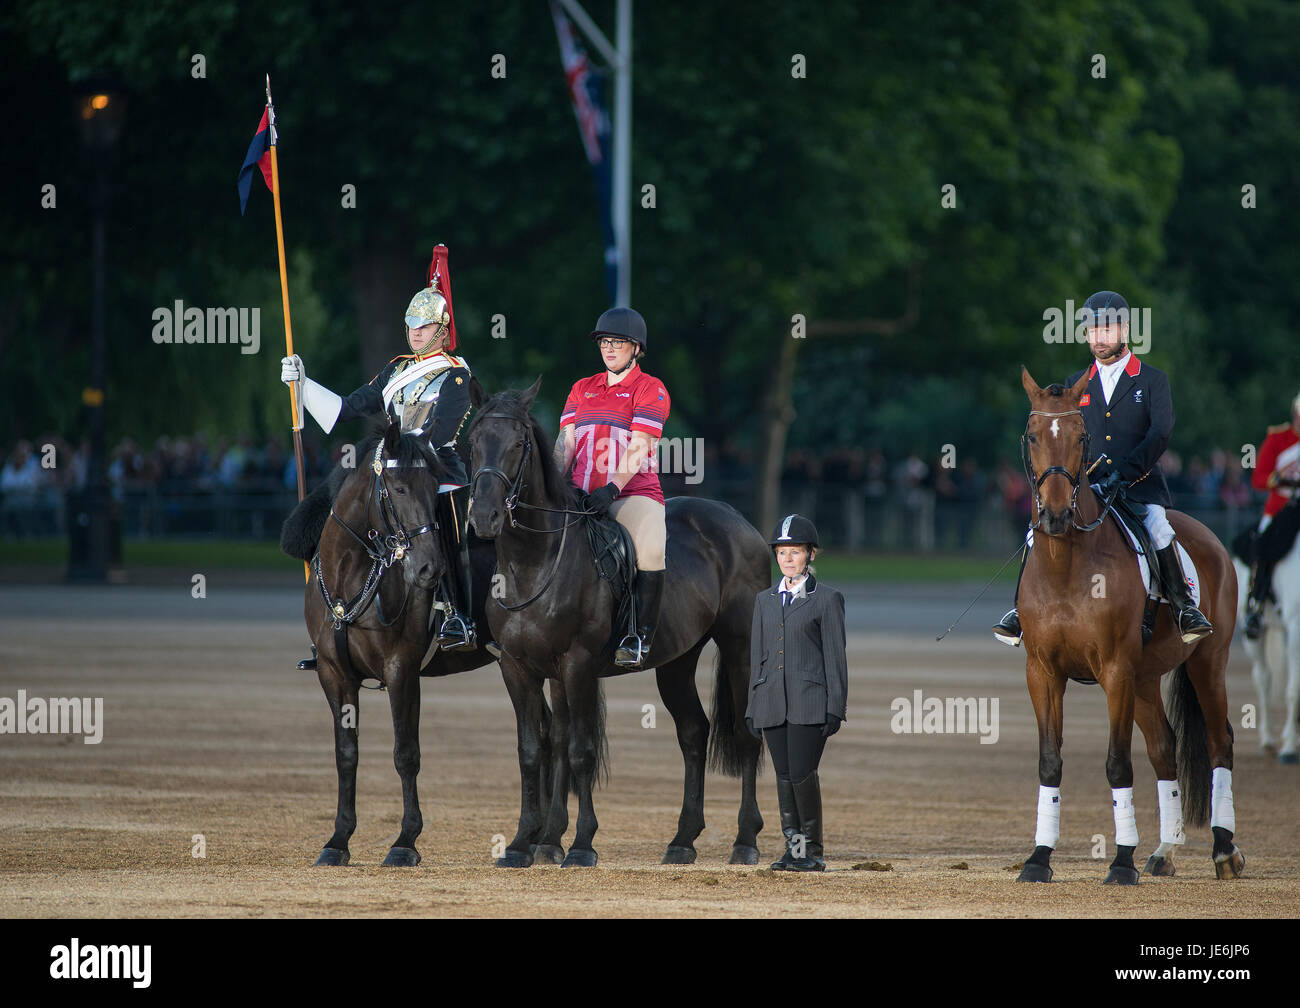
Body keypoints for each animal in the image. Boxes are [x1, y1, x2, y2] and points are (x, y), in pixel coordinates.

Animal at [467, 379, 769, 868]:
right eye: (473, 443)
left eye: (517, 444)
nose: (484, 518)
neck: (533, 562)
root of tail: (736, 518)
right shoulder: (519, 668)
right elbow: (536, 750)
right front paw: (528, 842)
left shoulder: (577, 665)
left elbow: (580, 751)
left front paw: (581, 845)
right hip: (677, 660)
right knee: (693, 732)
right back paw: (683, 839)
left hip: (739, 646)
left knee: (745, 734)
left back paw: (745, 840)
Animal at [1008, 369, 1242, 884]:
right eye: (1032, 436)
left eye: (1081, 438)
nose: (1055, 515)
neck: (1066, 566)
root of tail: (1210, 536)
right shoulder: (1042, 672)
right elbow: (1049, 762)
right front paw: (1039, 857)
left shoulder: (1114, 671)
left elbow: (1118, 765)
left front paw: (1120, 862)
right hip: (1144, 679)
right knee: (1163, 749)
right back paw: (1165, 850)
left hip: (1206, 664)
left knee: (1219, 742)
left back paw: (1223, 850)